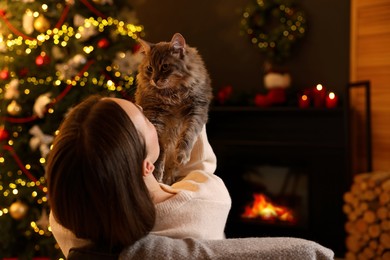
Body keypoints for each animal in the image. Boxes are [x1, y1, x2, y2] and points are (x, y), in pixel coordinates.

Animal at [135, 33, 213, 185]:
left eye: (165, 66)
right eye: (150, 68)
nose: (155, 79)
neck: (172, 95)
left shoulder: (196, 110)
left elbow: (188, 135)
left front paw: (181, 155)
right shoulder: (154, 115)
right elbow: (160, 147)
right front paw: (156, 173)